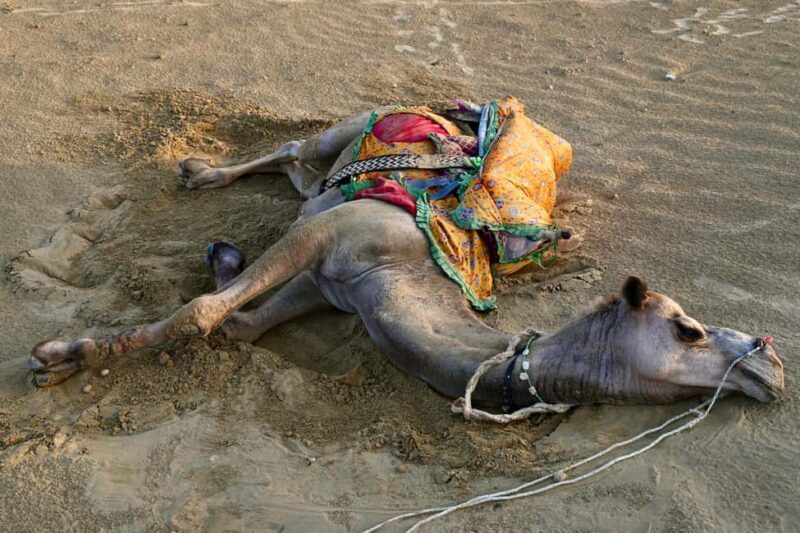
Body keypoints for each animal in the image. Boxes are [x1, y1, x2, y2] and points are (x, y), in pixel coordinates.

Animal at [28, 107, 785, 409]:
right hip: (349, 123)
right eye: (688, 327)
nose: (772, 362)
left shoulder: (327, 283)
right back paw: (197, 171)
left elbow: (237, 323)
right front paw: (60, 357)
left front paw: (225, 257)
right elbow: (201, 314)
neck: (404, 273)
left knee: (301, 171)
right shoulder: (328, 240)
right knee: (295, 147)